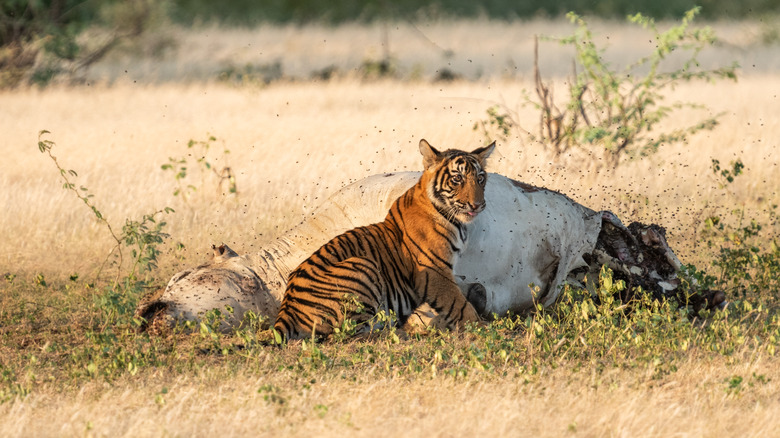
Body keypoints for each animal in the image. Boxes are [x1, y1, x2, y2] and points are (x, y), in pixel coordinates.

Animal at [272, 139, 496, 340]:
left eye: (480, 178)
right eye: (457, 178)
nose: (477, 205)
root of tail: (286, 310)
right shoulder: (434, 271)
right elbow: (458, 303)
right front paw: (480, 327)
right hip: (363, 265)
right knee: (349, 334)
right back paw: (403, 333)